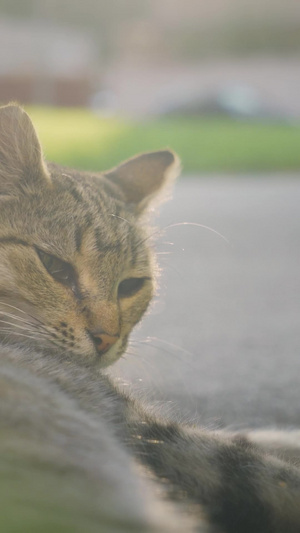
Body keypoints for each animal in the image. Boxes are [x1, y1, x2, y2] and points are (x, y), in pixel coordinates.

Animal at [0, 102, 300, 528]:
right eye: (54, 266)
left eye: (130, 285)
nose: (106, 337)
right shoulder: (153, 435)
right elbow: (266, 468)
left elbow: (255, 436)